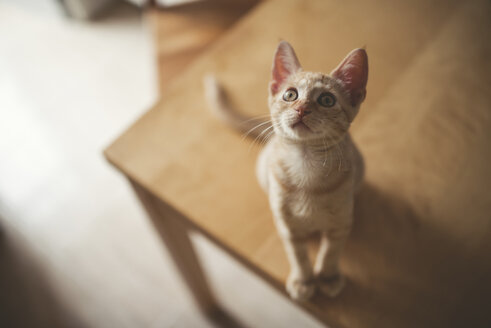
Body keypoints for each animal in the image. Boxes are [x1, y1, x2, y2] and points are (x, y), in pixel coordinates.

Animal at [205, 41, 368, 302]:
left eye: (327, 100)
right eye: (290, 95)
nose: (301, 109)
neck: (306, 166)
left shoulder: (341, 222)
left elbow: (331, 252)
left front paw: (328, 277)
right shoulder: (288, 226)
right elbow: (298, 256)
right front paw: (304, 281)